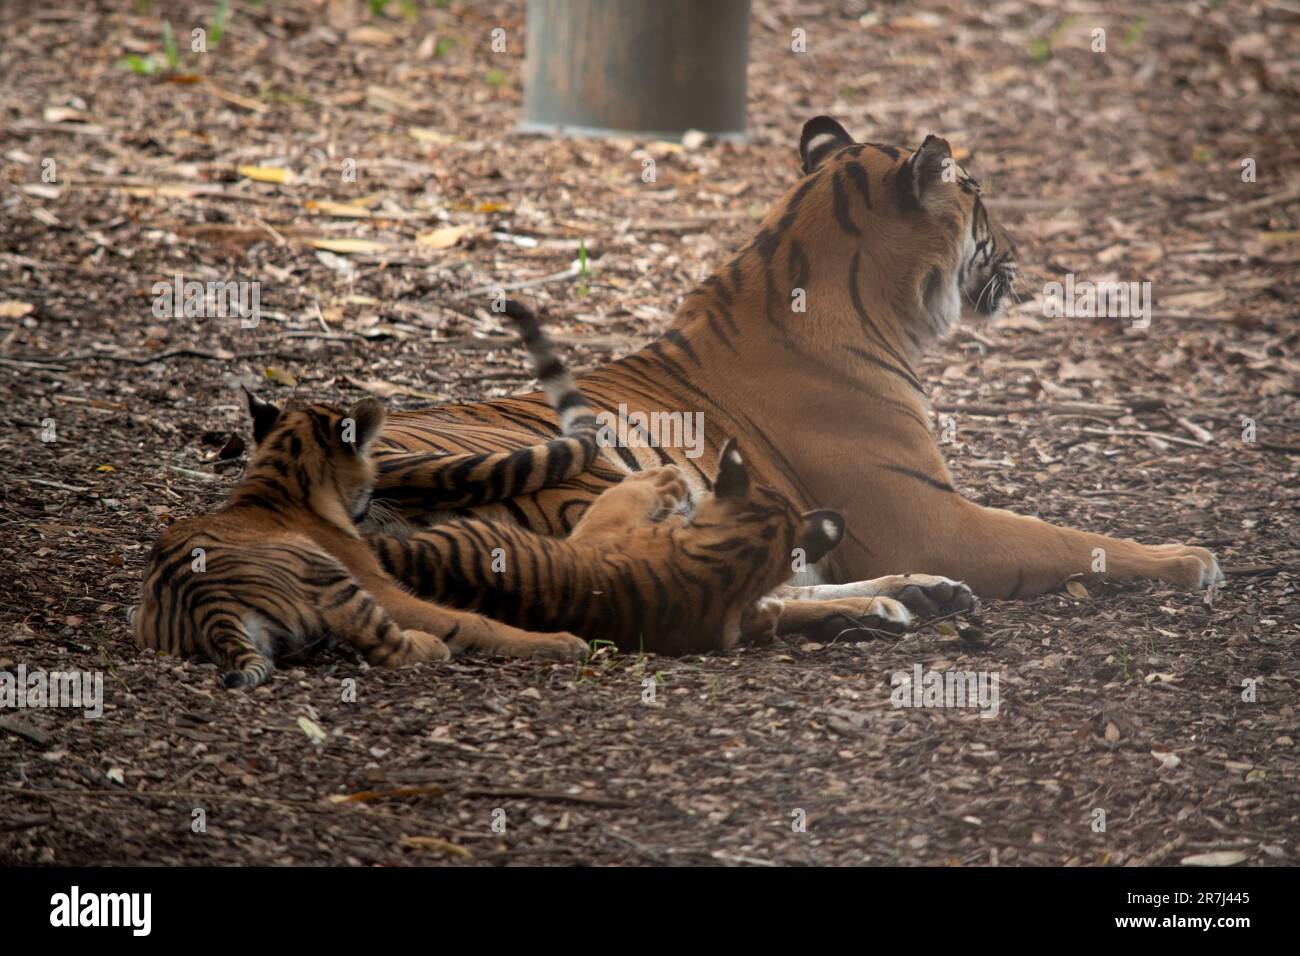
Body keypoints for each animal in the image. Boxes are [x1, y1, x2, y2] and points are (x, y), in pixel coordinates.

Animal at [133, 302, 597, 688]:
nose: (372, 504)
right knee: (392, 646)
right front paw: (558, 642)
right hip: (334, 581)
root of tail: (206, 602)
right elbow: (468, 621)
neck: (279, 481)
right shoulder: (376, 582)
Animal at [366, 115, 1222, 616]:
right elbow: (1066, 538)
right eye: (978, 199)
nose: (1019, 254)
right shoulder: (932, 518)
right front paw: (1188, 558)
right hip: (593, 471)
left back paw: (905, 600)